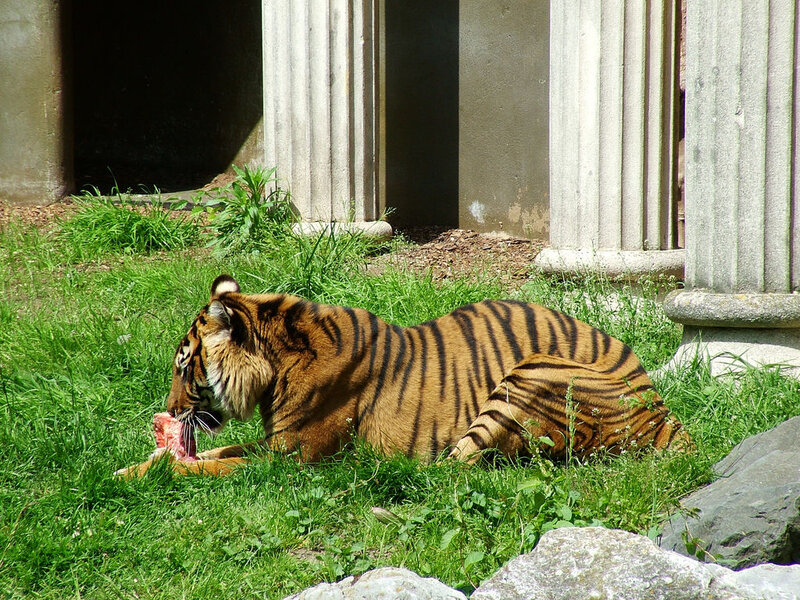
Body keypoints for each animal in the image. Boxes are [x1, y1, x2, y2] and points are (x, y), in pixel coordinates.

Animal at [117, 274, 690, 477]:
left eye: (184, 367)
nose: (168, 411)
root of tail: (664, 414)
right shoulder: (271, 442)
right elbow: (215, 451)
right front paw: (136, 465)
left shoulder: (289, 456)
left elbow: (209, 465)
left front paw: (147, 474)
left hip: (531, 372)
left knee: (451, 470)